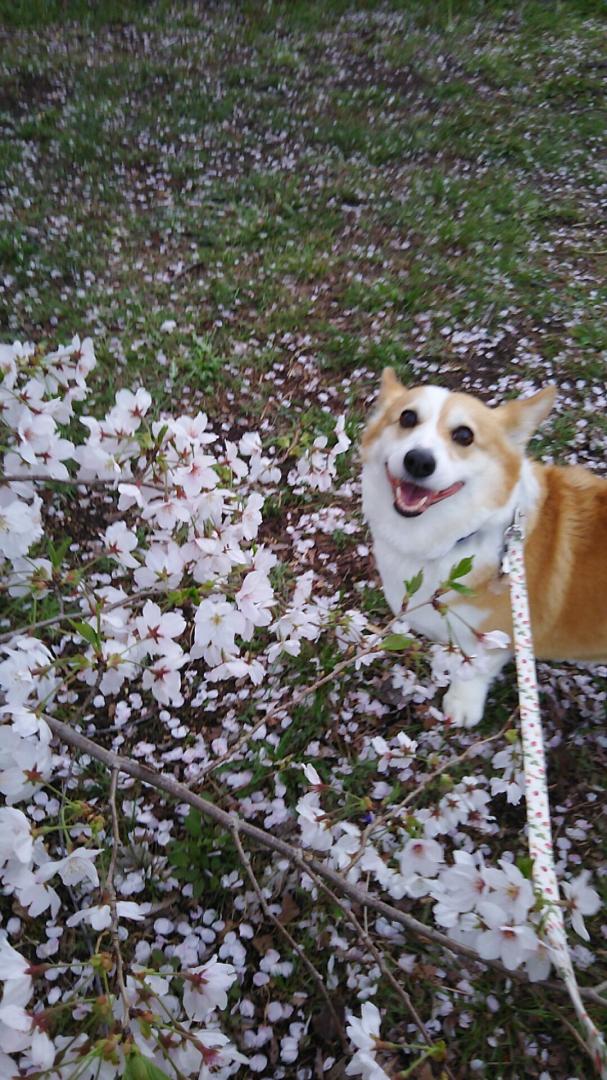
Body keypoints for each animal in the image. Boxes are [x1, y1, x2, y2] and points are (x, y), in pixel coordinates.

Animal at [358, 367, 604, 730]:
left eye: (464, 435)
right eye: (407, 417)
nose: (419, 461)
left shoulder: (496, 636)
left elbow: (475, 667)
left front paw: (462, 704)